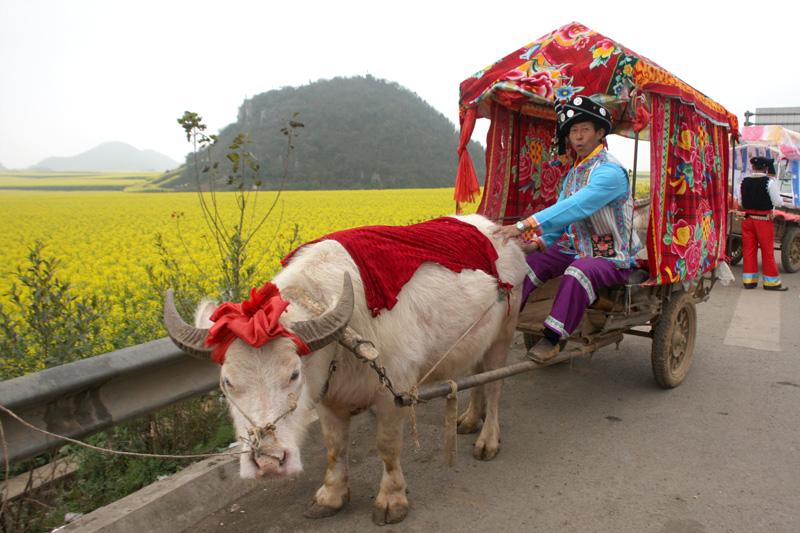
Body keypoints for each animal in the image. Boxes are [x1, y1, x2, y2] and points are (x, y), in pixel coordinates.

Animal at [164, 214, 524, 524]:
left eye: (293, 374)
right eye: (227, 383)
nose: (268, 463)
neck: (345, 338)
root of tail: (496, 231)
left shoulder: (395, 393)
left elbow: (387, 447)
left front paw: (391, 499)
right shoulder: (326, 396)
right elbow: (334, 447)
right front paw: (331, 496)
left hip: (504, 333)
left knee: (495, 386)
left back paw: (488, 439)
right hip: (477, 342)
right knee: (478, 377)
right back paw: (470, 419)